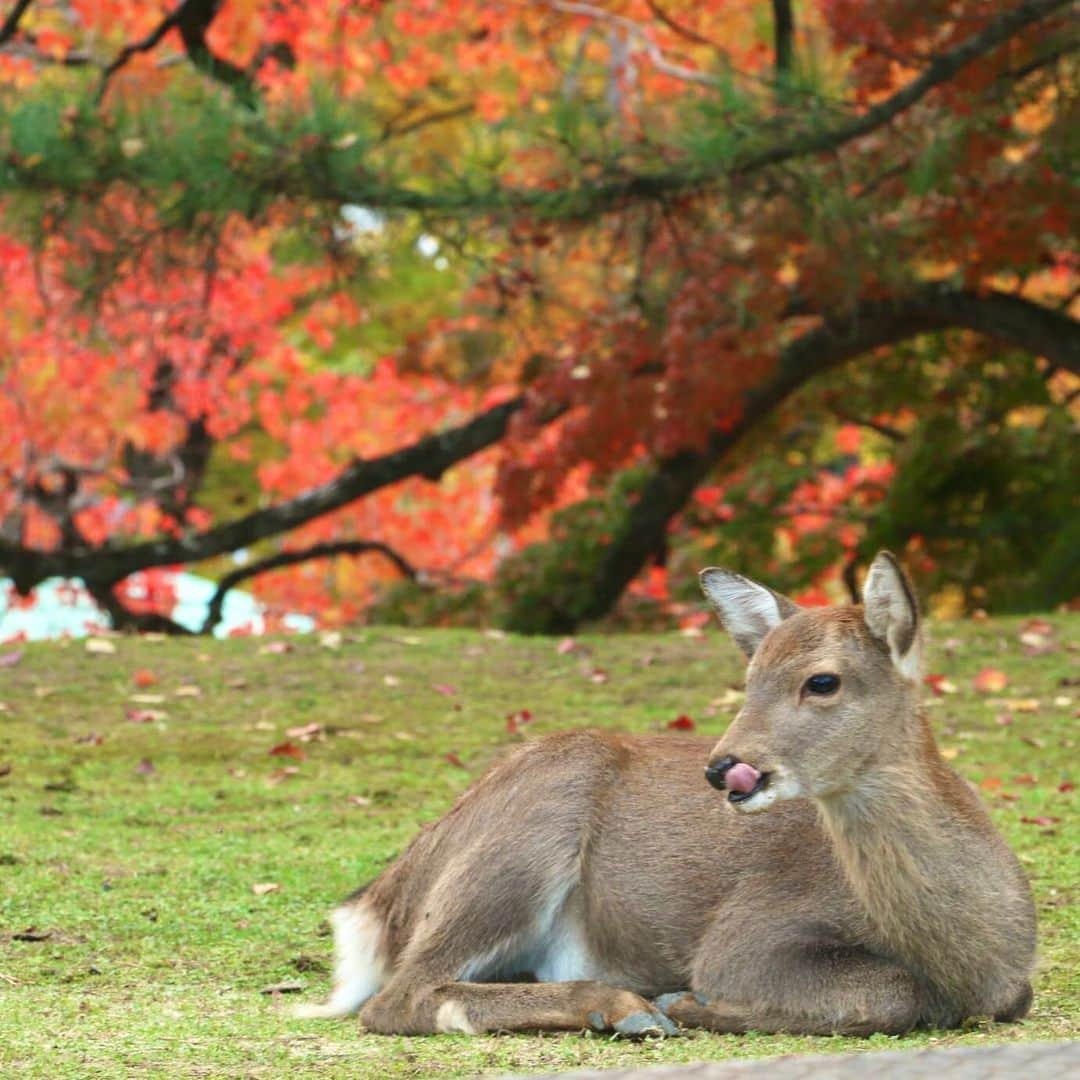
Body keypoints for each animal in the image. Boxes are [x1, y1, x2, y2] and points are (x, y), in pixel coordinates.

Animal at [298, 557, 1036, 1036]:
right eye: (749, 676)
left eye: (822, 681)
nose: (723, 768)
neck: (967, 956)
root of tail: (370, 906)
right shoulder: (748, 935)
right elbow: (888, 994)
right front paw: (689, 1003)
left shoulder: (1016, 982)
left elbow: (1003, 996)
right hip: (526, 828)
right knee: (398, 998)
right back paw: (626, 1009)